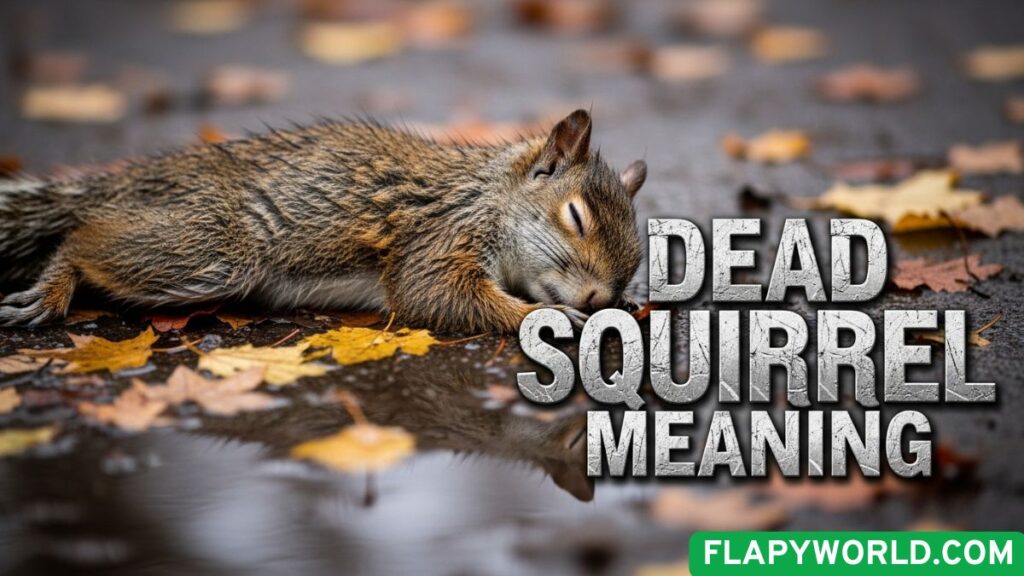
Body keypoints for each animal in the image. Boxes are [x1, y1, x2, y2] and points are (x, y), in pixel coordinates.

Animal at [0, 109, 646, 333]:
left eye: (636, 261)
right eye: (576, 216)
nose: (599, 298)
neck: (486, 192)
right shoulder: (440, 235)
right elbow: (430, 291)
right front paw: (549, 317)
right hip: (216, 248)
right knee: (82, 236)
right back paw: (53, 285)